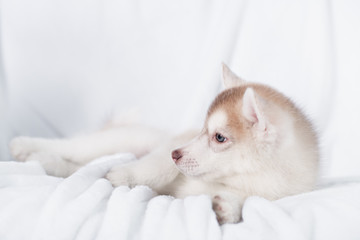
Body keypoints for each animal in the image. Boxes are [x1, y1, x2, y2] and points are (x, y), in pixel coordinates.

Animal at [9, 63, 318, 223]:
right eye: (201, 130)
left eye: (219, 137)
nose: (176, 154)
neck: (247, 177)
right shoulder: (171, 149)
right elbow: (156, 167)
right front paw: (126, 174)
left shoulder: (273, 195)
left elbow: (245, 200)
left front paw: (228, 207)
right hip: (121, 139)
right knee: (72, 147)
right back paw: (24, 146)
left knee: (74, 167)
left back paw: (45, 162)